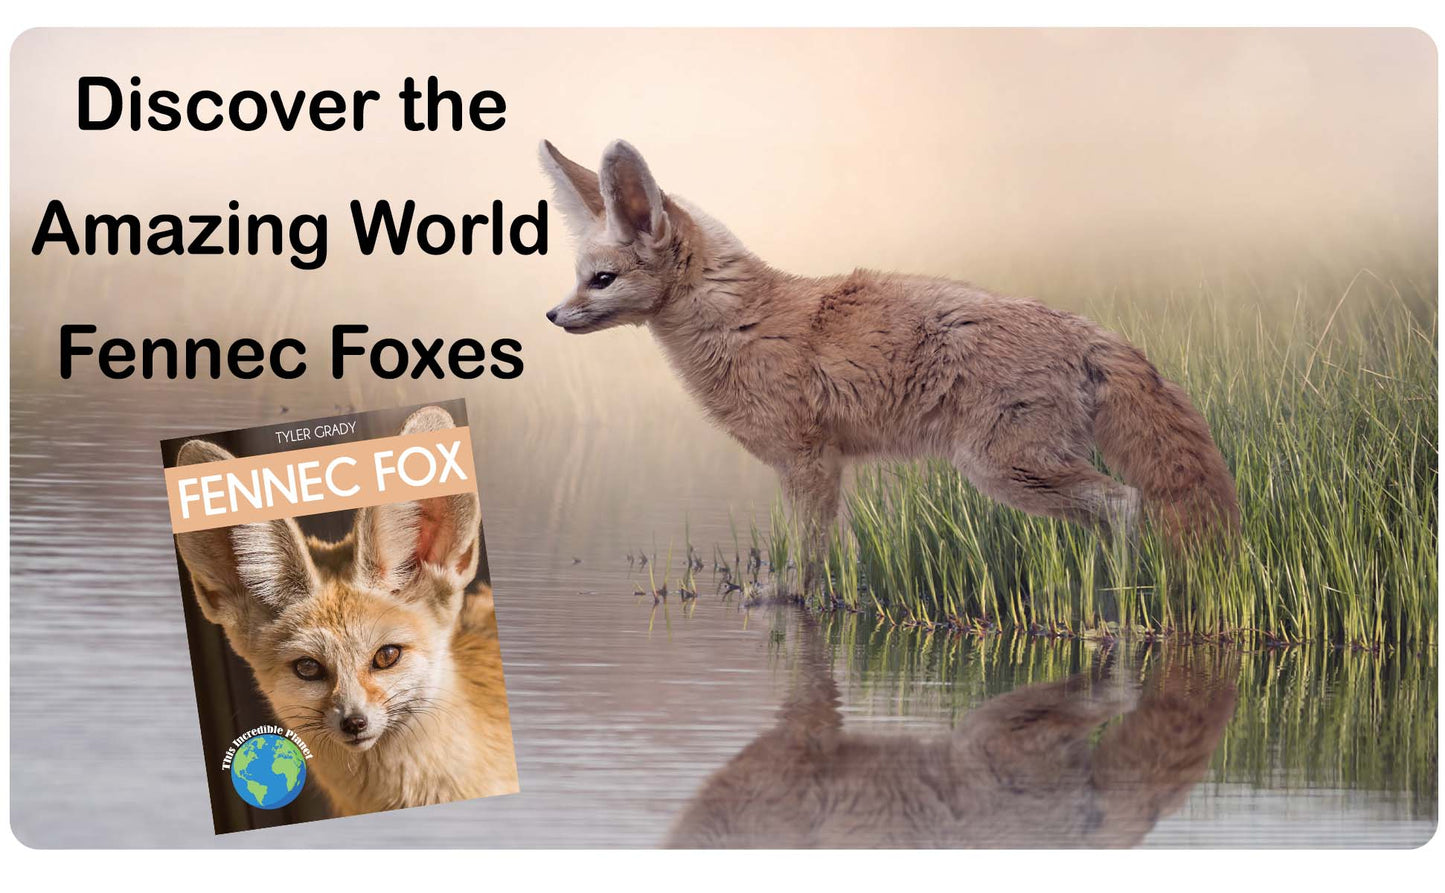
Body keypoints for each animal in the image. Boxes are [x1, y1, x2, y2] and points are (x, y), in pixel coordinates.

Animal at [540, 140, 1240, 586]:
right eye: (580, 277)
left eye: (600, 281)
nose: (552, 317)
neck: (742, 322)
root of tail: (1088, 330)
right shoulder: (816, 468)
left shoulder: (809, 463)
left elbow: (805, 568)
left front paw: (783, 604)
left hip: (1007, 471)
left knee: (1124, 503)